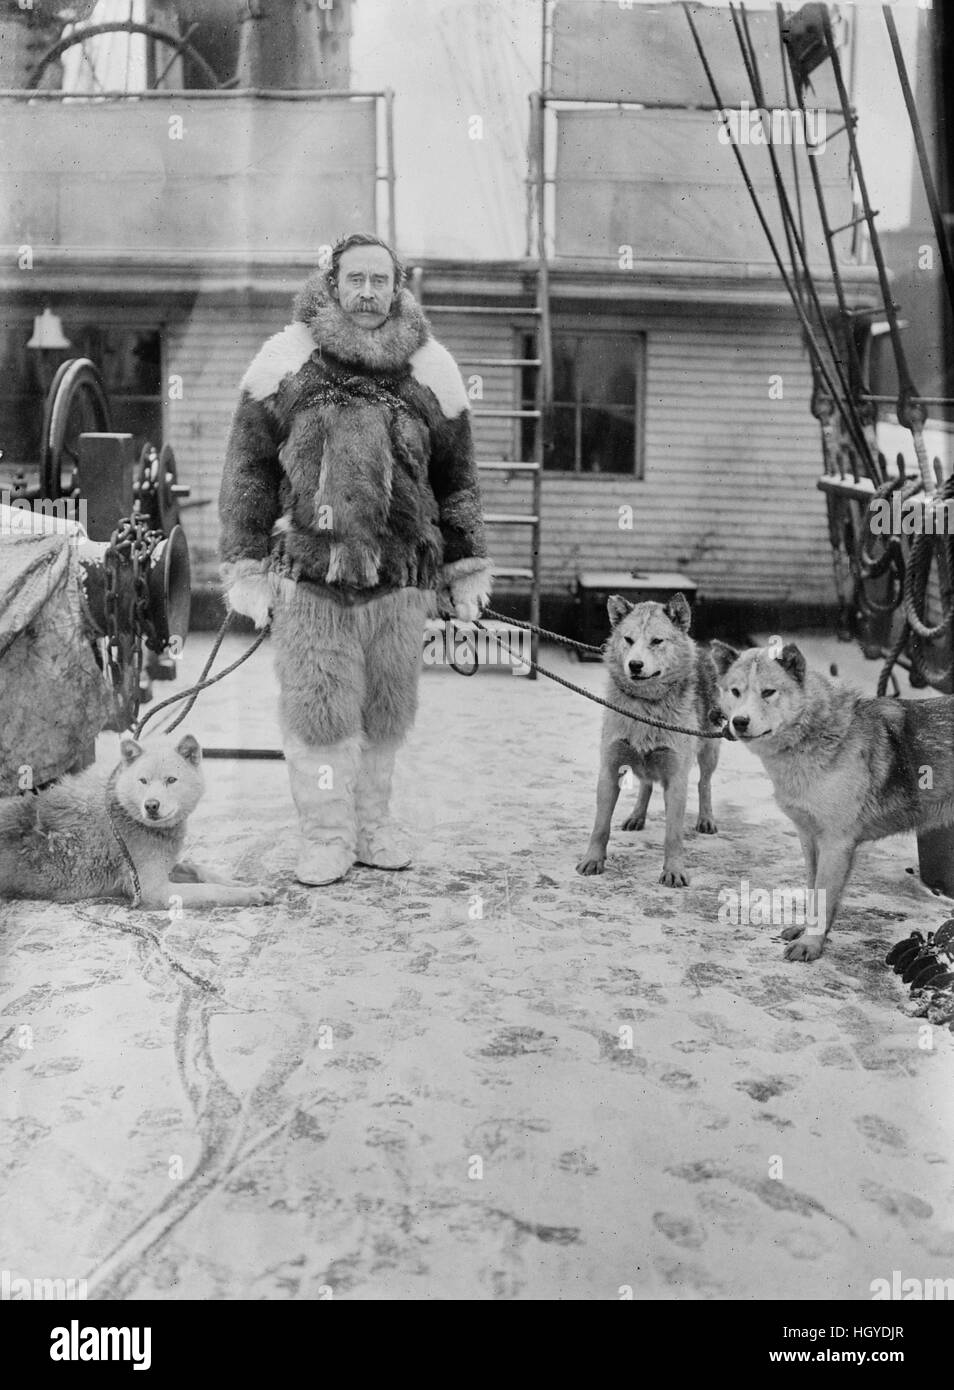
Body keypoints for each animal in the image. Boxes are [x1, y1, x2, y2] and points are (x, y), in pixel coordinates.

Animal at [0, 728, 276, 911]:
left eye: (171, 780)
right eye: (143, 780)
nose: (151, 805)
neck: (125, 811)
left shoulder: (165, 867)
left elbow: (199, 869)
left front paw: (236, 882)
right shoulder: (154, 890)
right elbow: (213, 890)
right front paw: (250, 894)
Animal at [578, 592, 723, 884]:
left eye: (657, 641)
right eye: (628, 640)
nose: (635, 665)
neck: (645, 707)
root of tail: (702, 650)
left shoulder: (677, 778)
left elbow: (673, 835)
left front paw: (674, 870)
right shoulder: (609, 770)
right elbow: (600, 826)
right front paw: (593, 860)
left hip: (709, 751)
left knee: (704, 783)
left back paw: (706, 818)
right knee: (646, 784)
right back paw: (637, 816)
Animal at [717, 636, 954, 956]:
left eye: (768, 692)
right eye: (736, 691)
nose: (739, 721)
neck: (817, 735)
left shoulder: (836, 843)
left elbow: (823, 896)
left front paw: (810, 944)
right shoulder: (810, 839)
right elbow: (814, 892)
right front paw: (809, 933)